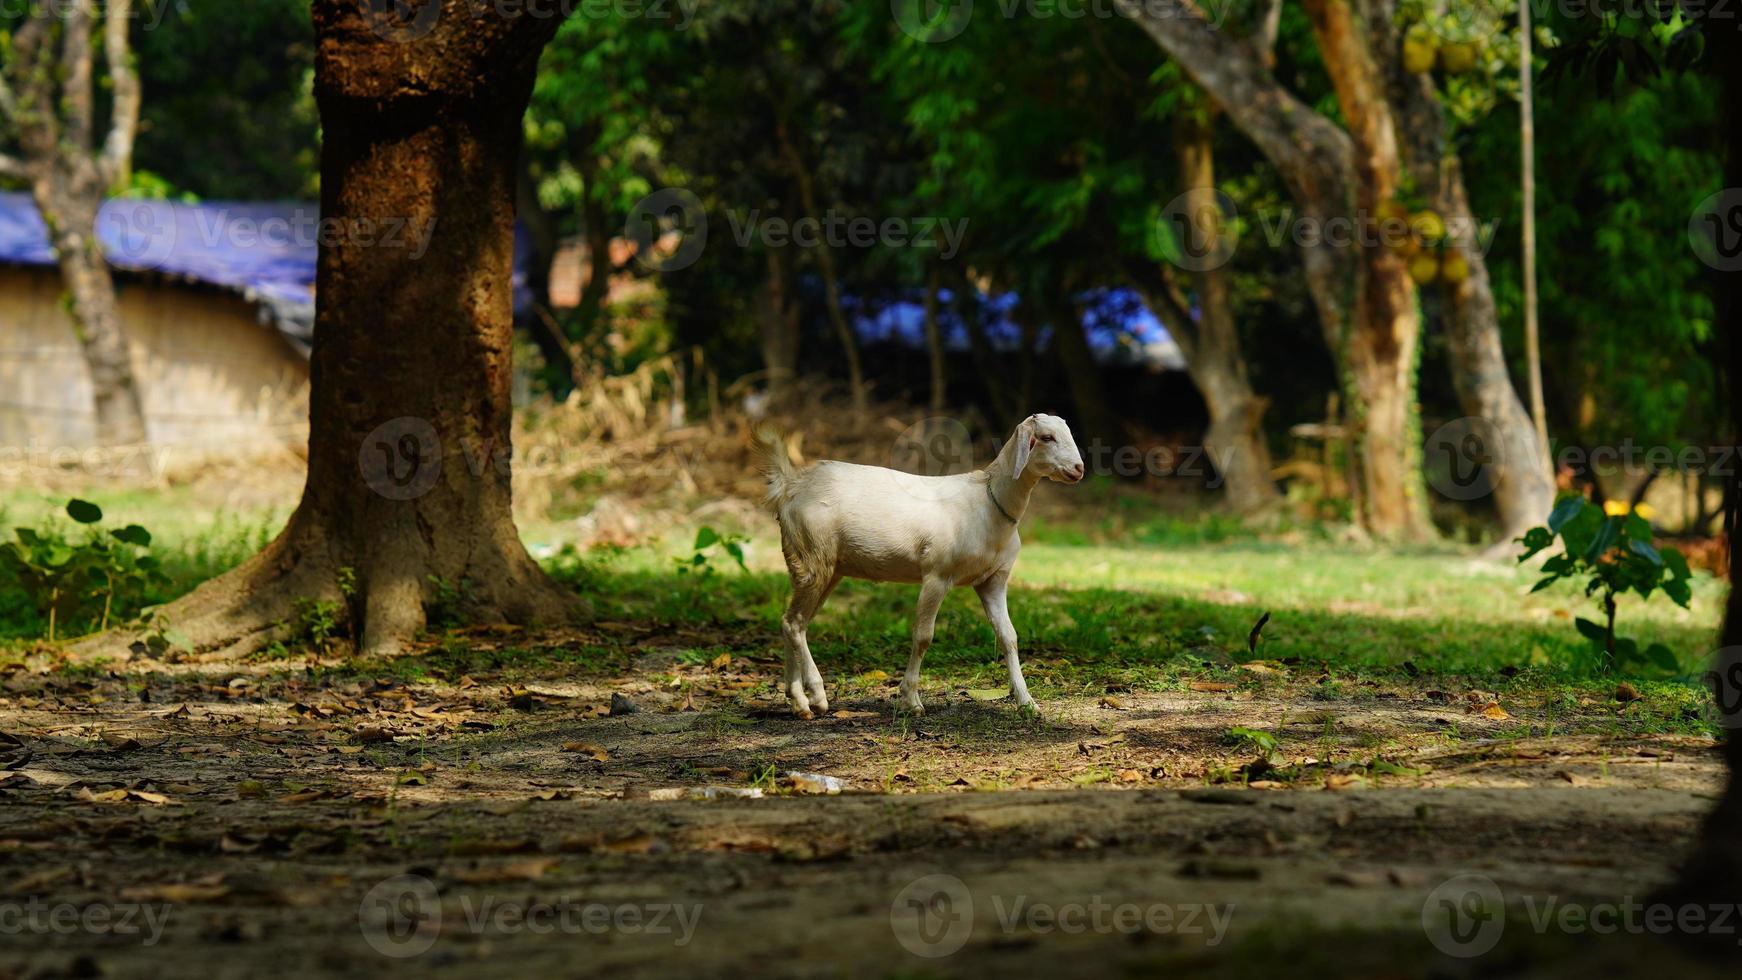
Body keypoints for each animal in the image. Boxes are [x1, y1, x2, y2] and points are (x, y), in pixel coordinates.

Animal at [756, 410, 1080, 717]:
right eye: (1047, 437)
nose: (1079, 469)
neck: (988, 503)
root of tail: (790, 486)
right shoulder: (937, 574)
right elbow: (924, 636)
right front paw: (911, 700)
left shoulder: (993, 581)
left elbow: (1008, 637)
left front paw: (1028, 704)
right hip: (813, 556)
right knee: (795, 623)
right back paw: (817, 696)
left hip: (821, 565)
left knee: (791, 622)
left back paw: (798, 701)